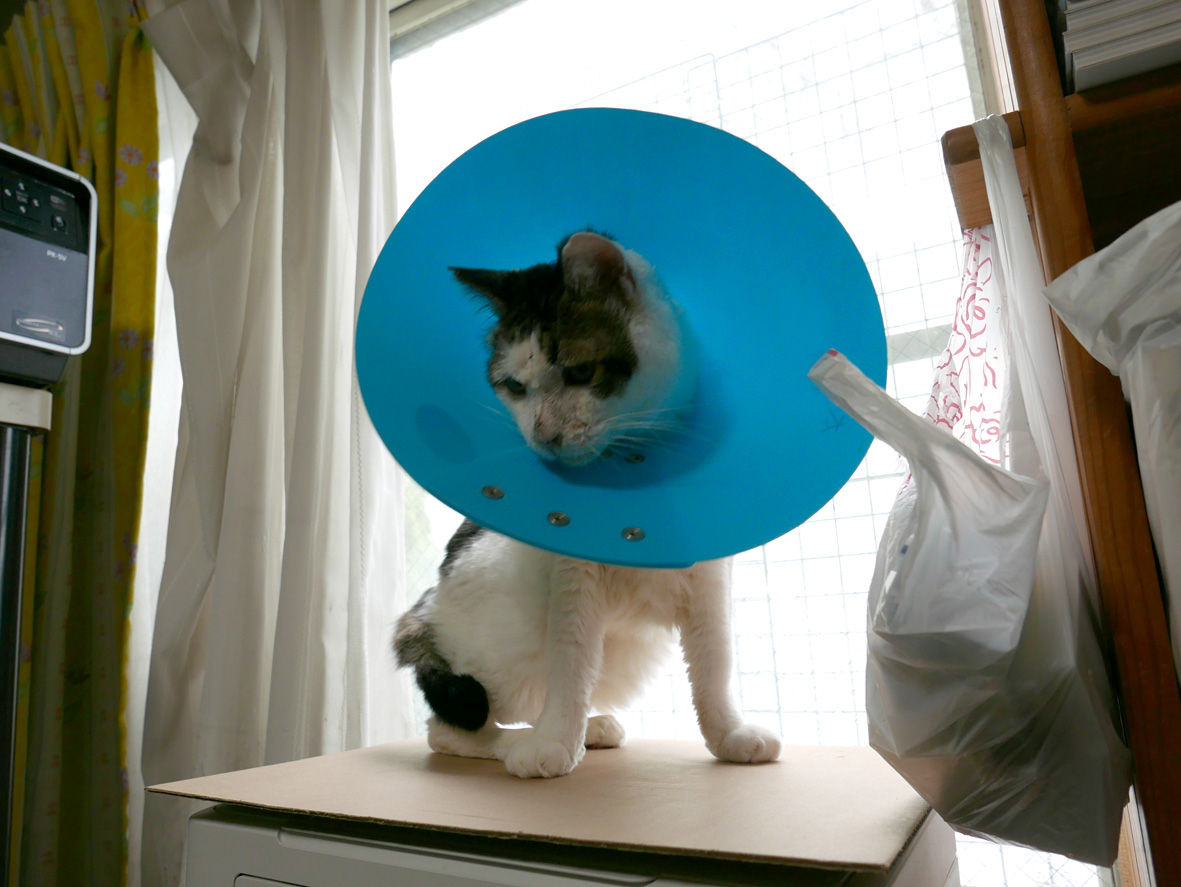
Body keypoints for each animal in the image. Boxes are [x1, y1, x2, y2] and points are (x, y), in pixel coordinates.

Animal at [394, 231, 781, 778]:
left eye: (579, 371)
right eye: (515, 387)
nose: (543, 436)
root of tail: (423, 611)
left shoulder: (710, 581)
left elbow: (714, 667)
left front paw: (729, 736)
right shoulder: (572, 584)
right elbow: (571, 662)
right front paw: (555, 744)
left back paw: (592, 728)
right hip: (503, 648)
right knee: (451, 726)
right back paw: (527, 742)